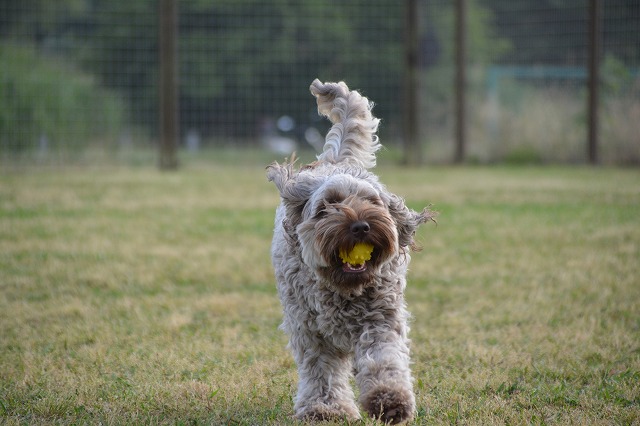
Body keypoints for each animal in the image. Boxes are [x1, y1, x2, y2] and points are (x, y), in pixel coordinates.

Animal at [264, 79, 436, 422]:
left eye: (371, 201)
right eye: (328, 206)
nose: (360, 227)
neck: (344, 288)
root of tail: (336, 163)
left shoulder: (380, 320)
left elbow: (384, 358)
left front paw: (390, 399)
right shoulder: (311, 330)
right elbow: (321, 369)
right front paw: (324, 408)